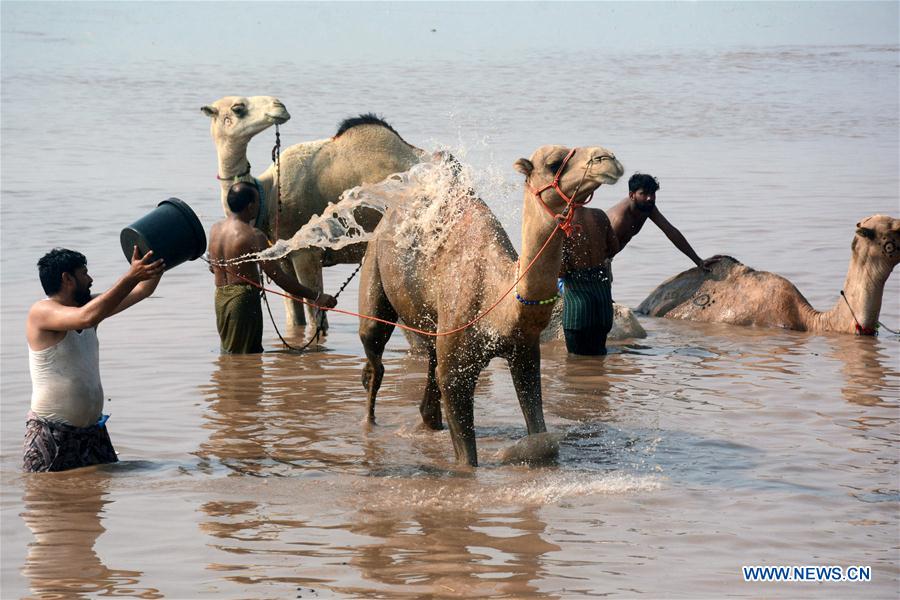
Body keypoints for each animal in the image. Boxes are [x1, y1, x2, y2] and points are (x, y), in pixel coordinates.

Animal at [356, 143, 624, 466]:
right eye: (554, 162)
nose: (607, 158)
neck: (499, 300)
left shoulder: (524, 353)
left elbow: (542, 436)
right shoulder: (458, 373)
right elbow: (467, 460)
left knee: (429, 363)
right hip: (373, 268)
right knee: (375, 354)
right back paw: (369, 425)